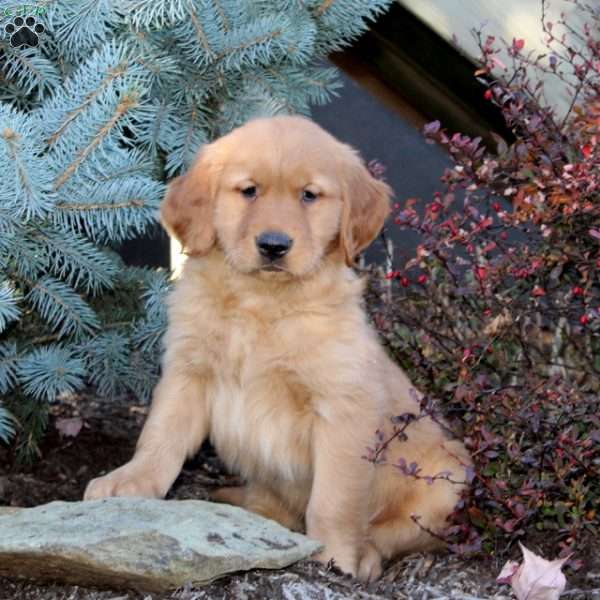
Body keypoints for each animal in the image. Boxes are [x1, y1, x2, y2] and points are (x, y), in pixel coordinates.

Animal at [83, 115, 468, 580]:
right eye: (249, 190)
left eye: (309, 195)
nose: (273, 245)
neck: (261, 302)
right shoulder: (188, 372)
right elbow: (160, 437)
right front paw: (130, 482)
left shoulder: (343, 409)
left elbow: (334, 499)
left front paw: (336, 556)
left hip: (449, 485)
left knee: (394, 534)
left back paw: (366, 557)